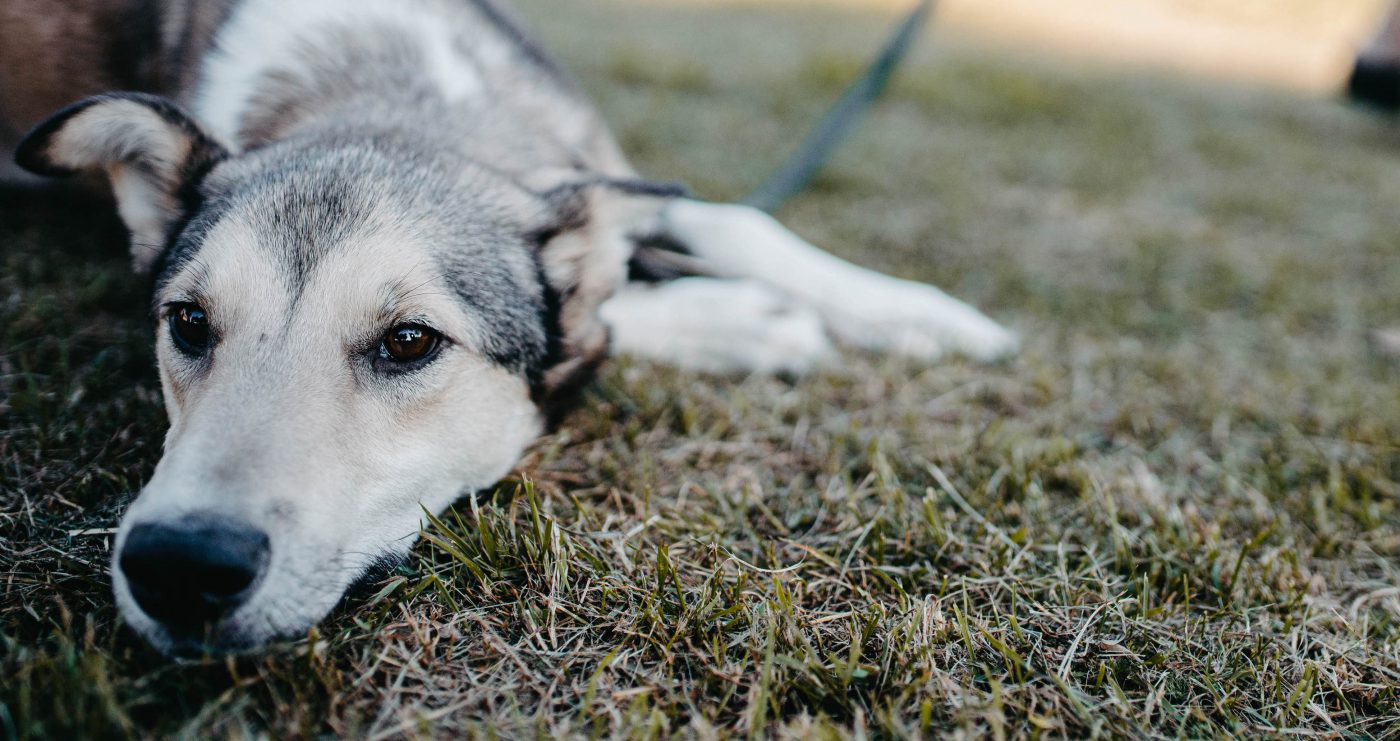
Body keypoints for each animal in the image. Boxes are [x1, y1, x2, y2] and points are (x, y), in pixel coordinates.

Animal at [5, 0, 1019, 652]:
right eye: (189, 321)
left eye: (409, 341)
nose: (179, 565)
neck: (399, 99)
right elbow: (612, 310)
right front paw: (744, 320)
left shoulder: (604, 174)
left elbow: (727, 218)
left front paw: (921, 315)